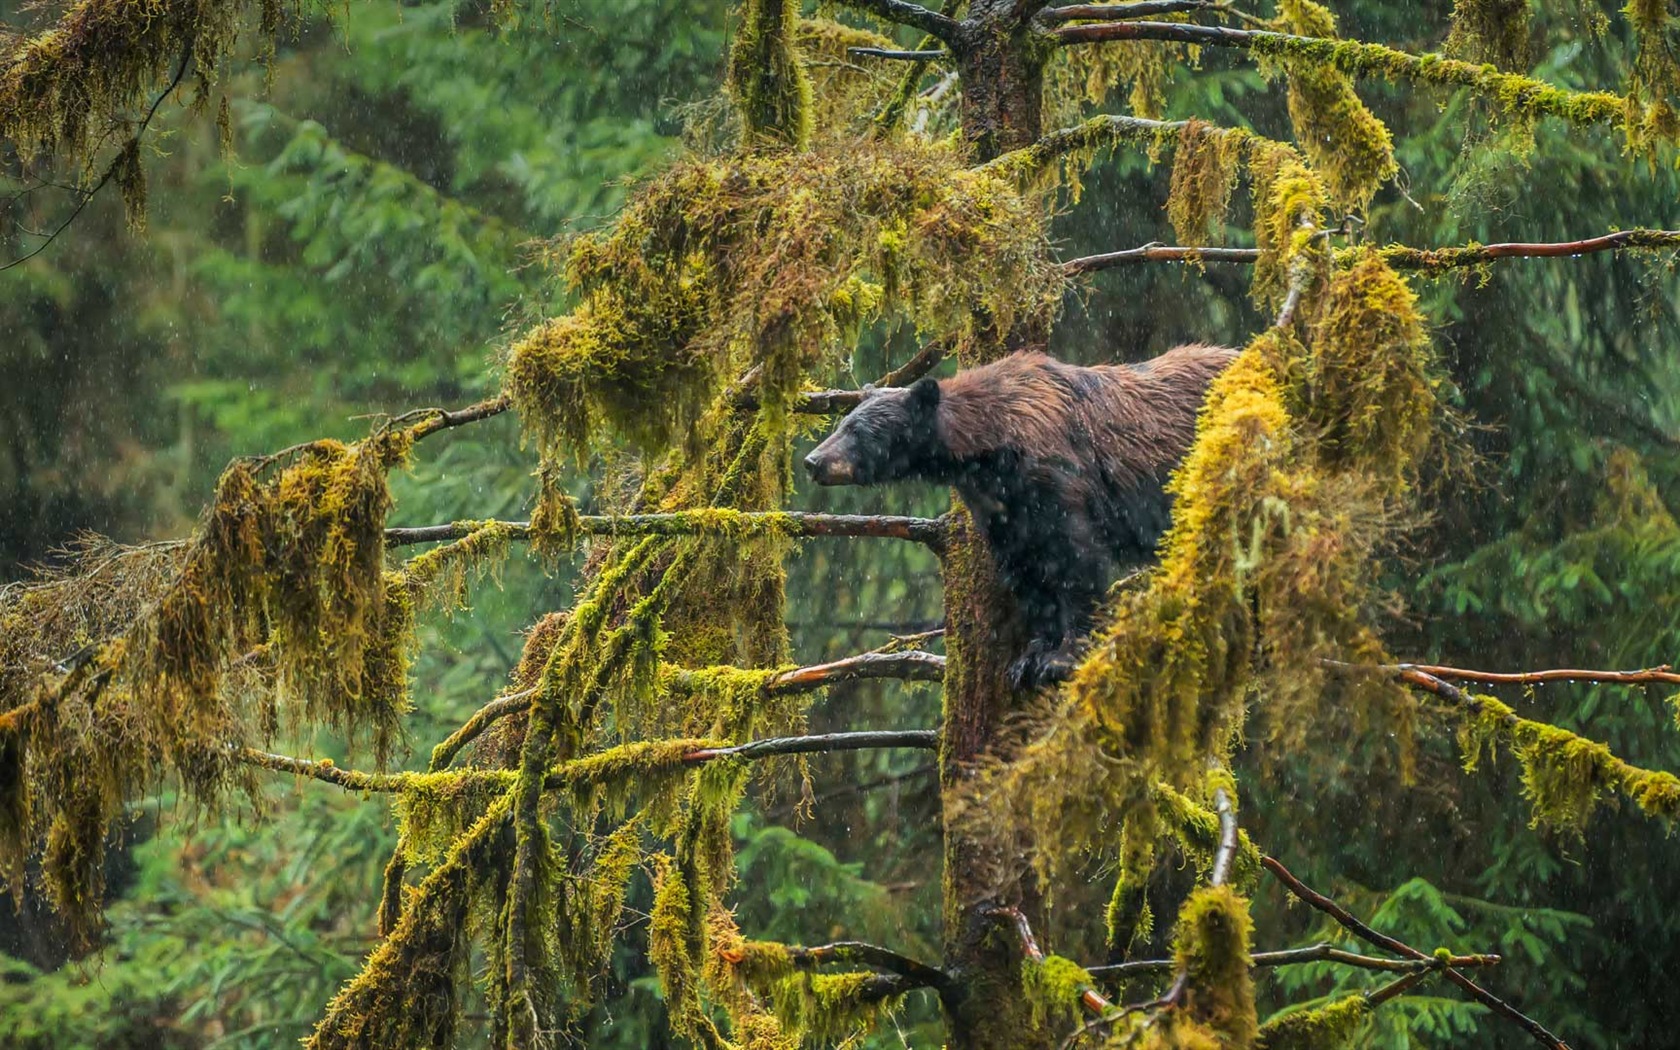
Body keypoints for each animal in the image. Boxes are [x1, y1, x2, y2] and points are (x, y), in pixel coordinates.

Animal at [799, 344, 1236, 688]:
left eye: (858, 431)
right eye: (842, 422)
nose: (813, 461)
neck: (990, 449)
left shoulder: (1057, 478)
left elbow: (1076, 561)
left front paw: (1063, 657)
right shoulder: (1003, 510)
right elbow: (1028, 574)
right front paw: (1030, 658)